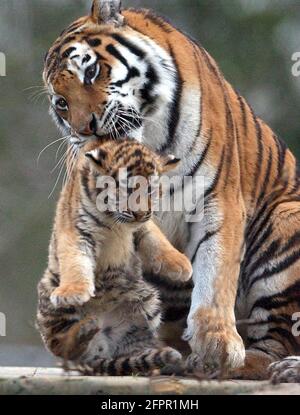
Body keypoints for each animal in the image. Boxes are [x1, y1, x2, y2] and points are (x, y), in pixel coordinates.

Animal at [42, 0, 300, 384]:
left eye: (90, 72)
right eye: (61, 102)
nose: (85, 129)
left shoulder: (216, 198)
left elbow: (214, 271)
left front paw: (216, 345)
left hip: (285, 218)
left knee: (274, 345)